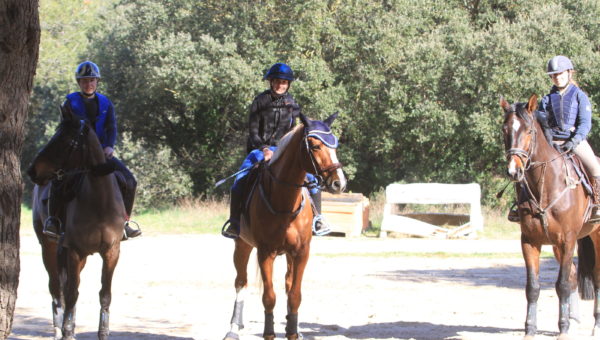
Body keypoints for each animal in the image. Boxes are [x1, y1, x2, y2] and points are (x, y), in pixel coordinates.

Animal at [27, 105, 126, 338]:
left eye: (65, 141)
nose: (32, 171)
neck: (99, 201)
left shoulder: (111, 251)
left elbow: (104, 294)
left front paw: (103, 332)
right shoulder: (73, 250)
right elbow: (71, 293)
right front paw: (67, 331)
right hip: (49, 248)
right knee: (57, 288)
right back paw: (57, 328)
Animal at [224, 113, 346, 340]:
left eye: (335, 145)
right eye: (315, 146)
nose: (339, 183)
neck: (285, 203)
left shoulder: (301, 252)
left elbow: (295, 295)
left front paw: (293, 331)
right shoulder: (265, 253)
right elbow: (269, 297)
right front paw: (269, 332)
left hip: (289, 254)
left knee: (288, 284)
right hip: (242, 245)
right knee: (241, 282)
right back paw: (234, 328)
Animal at [500, 94, 600, 338]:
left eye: (529, 130)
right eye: (505, 130)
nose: (513, 171)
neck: (544, 187)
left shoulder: (568, 240)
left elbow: (561, 284)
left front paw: (562, 329)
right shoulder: (529, 241)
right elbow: (533, 287)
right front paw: (530, 329)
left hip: (595, 237)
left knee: (596, 276)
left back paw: (595, 324)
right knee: (573, 275)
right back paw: (573, 320)